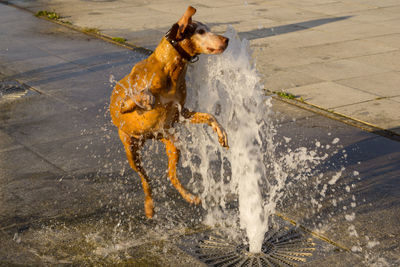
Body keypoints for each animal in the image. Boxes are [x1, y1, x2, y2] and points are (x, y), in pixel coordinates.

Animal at [110, 6, 228, 219]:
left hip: (173, 142)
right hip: (131, 150)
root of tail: (148, 138)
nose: (226, 40)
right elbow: (142, 97)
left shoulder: (181, 114)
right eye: (200, 31)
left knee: (171, 175)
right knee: (145, 179)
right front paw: (147, 99)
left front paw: (221, 132)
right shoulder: (124, 105)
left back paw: (190, 196)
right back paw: (149, 206)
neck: (171, 70)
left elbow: (210, 116)